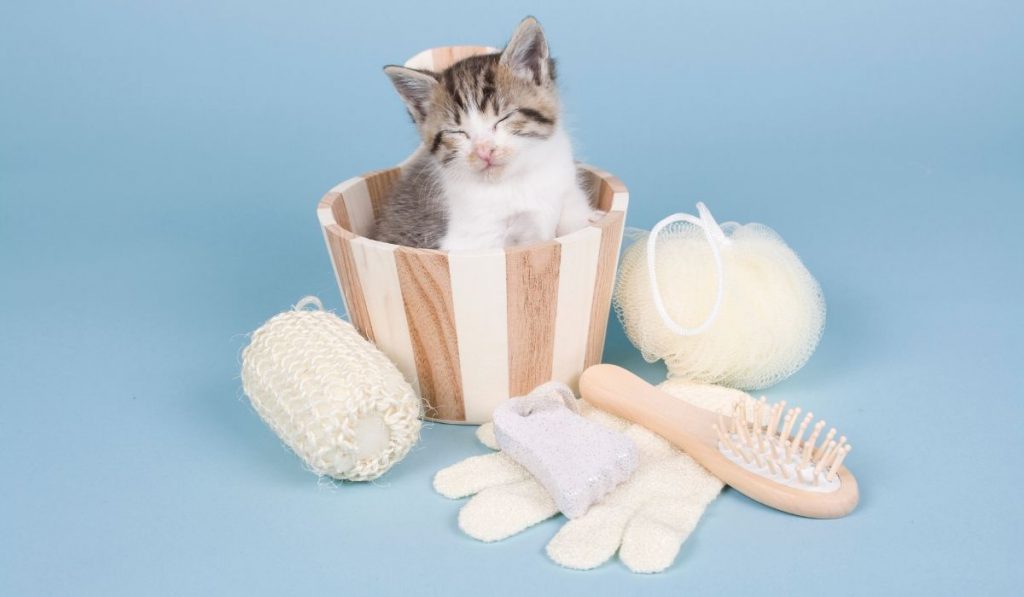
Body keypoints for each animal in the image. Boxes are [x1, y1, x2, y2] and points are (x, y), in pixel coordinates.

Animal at [372, 16, 598, 249]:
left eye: (503, 118)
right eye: (457, 131)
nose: (484, 151)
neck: (516, 180)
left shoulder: (568, 190)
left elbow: (578, 222)